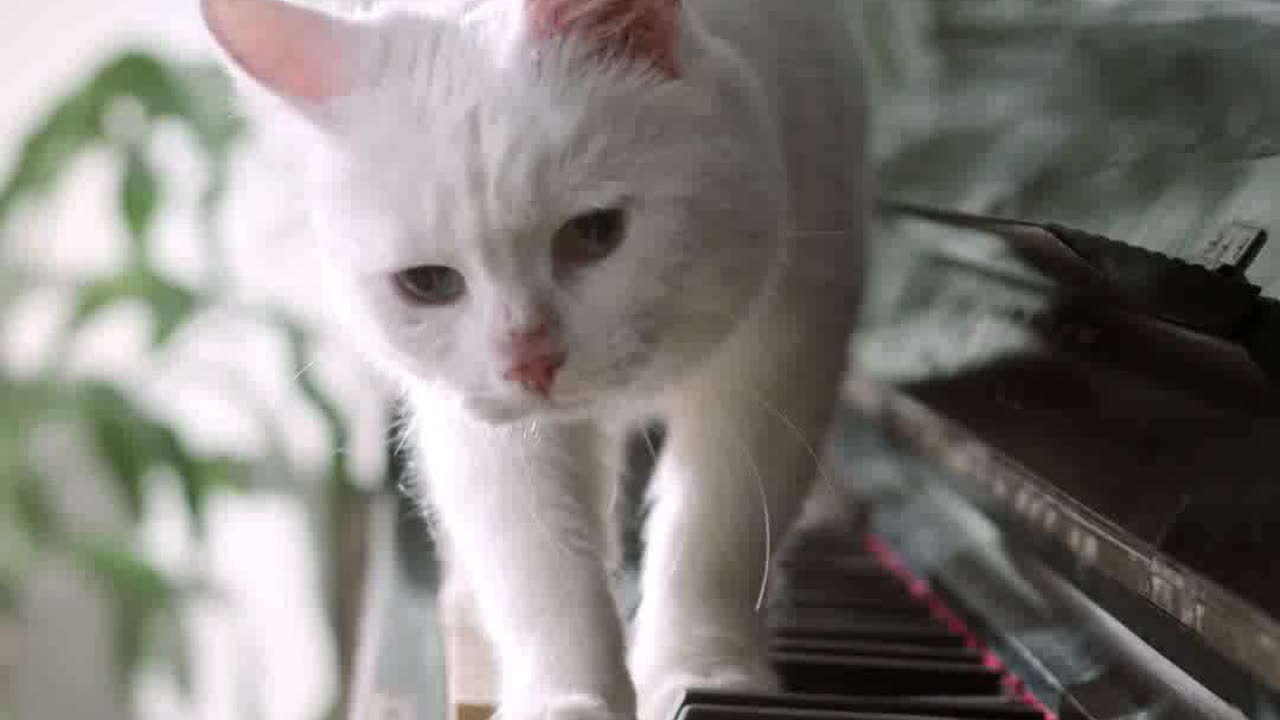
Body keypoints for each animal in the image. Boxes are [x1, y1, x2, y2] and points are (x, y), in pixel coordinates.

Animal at [204, 0, 870, 712]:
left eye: (594, 232)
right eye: (428, 283)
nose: (530, 360)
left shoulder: (786, 341)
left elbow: (720, 527)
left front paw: (705, 669)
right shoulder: (482, 421)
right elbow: (538, 565)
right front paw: (567, 699)